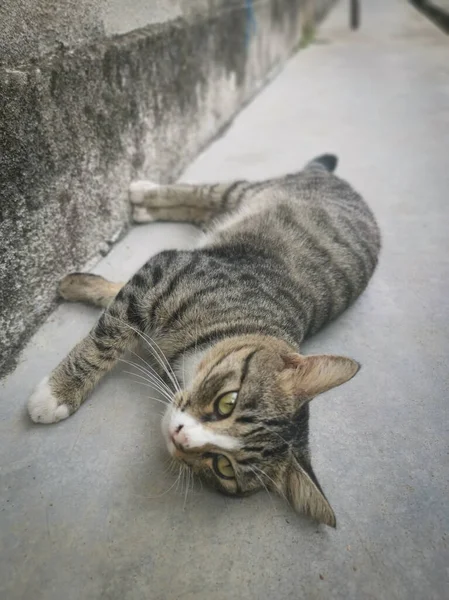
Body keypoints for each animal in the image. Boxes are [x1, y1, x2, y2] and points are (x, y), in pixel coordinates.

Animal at [26, 155, 380, 524]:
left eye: (223, 467)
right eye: (228, 402)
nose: (181, 437)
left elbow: (115, 309)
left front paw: (80, 286)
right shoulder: (165, 270)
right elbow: (106, 336)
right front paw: (57, 393)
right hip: (245, 192)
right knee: (205, 193)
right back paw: (144, 192)